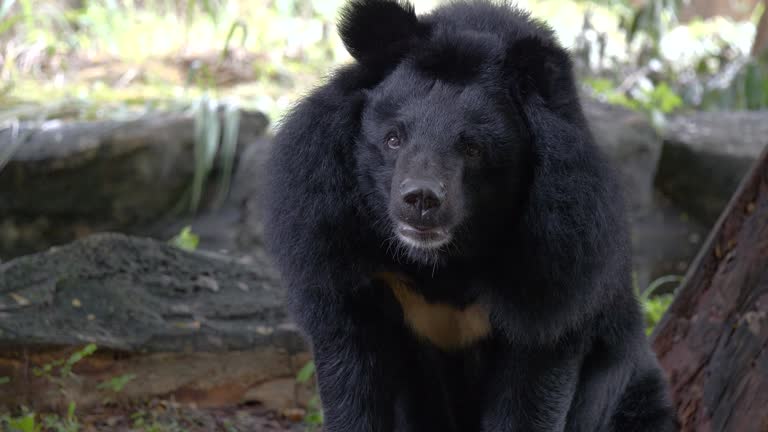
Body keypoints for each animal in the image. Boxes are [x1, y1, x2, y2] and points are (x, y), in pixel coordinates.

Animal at [262, 1, 672, 430]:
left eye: (473, 149)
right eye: (393, 138)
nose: (421, 199)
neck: (444, 261)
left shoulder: (554, 270)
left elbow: (531, 387)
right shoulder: (334, 241)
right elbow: (354, 375)